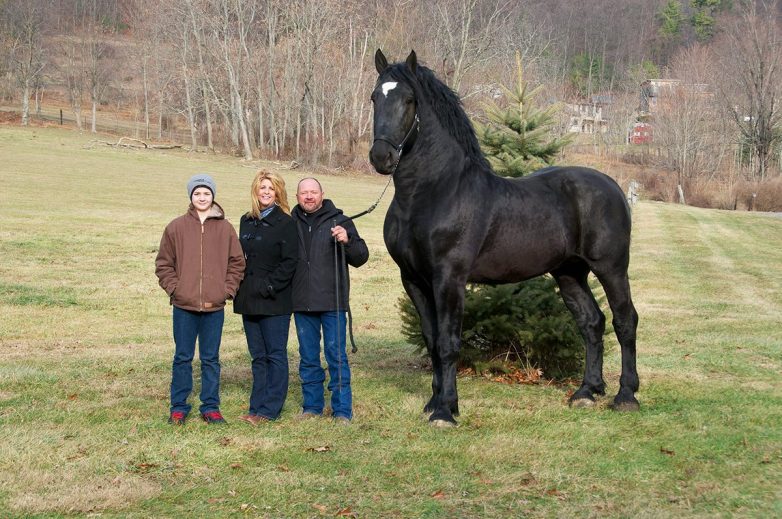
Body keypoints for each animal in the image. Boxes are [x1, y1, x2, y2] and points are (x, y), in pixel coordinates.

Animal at [370, 50, 640, 428]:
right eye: (374, 98)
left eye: (409, 100)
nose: (381, 157)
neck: (433, 192)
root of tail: (612, 185)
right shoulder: (413, 280)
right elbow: (432, 340)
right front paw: (436, 402)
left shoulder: (449, 278)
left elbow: (449, 343)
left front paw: (445, 412)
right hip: (569, 273)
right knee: (592, 323)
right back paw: (587, 392)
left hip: (611, 268)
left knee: (624, 320)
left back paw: (626, 395)